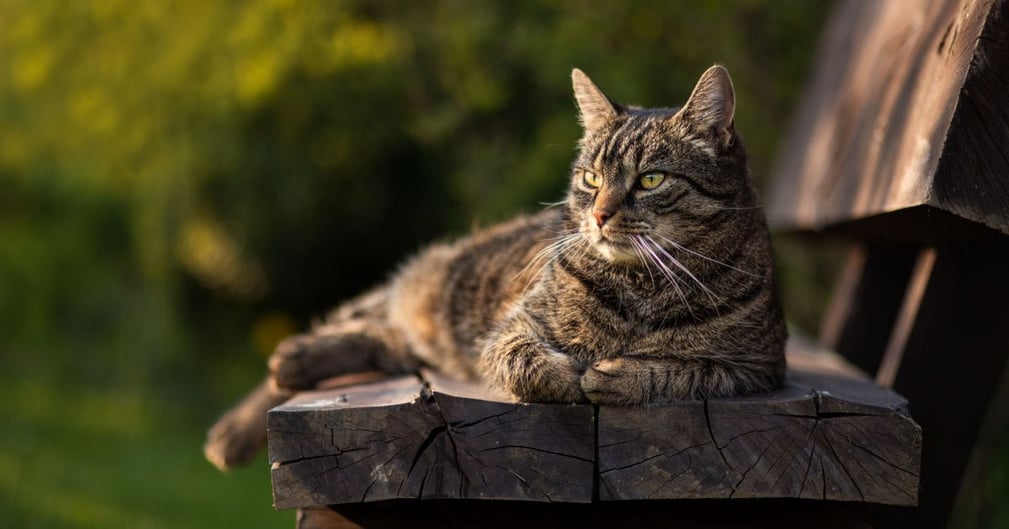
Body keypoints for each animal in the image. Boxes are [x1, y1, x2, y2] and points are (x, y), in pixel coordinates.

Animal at [202, 65, 787, 470]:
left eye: (651, 180)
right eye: (592, 179)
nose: (599, 215)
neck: (640, 286)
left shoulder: (756, 367)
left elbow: (685, 370)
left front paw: (618, 375)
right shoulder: (510, 327)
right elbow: (524, 360)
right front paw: (568, 374)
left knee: (385, 341)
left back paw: (296, 364)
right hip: (430, 290)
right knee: (357, 324)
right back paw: (251, 410)